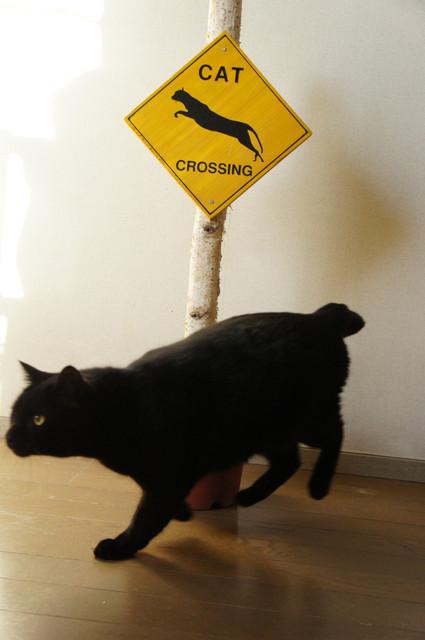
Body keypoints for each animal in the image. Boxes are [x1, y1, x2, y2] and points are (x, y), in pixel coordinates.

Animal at [6, 303, 364, 561]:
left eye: (38, 419)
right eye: (14, 416)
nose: (8, 438)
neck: (124, 407)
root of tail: (319, 317)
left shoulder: (168, 475)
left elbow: (146, 518)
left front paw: (120, 548)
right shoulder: (158, 474)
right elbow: (153, 502)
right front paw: (183, 513)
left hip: (307, 419)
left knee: (335, 433)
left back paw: (318, 488)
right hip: (264, 432)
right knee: (290, 461)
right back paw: (249, 496)